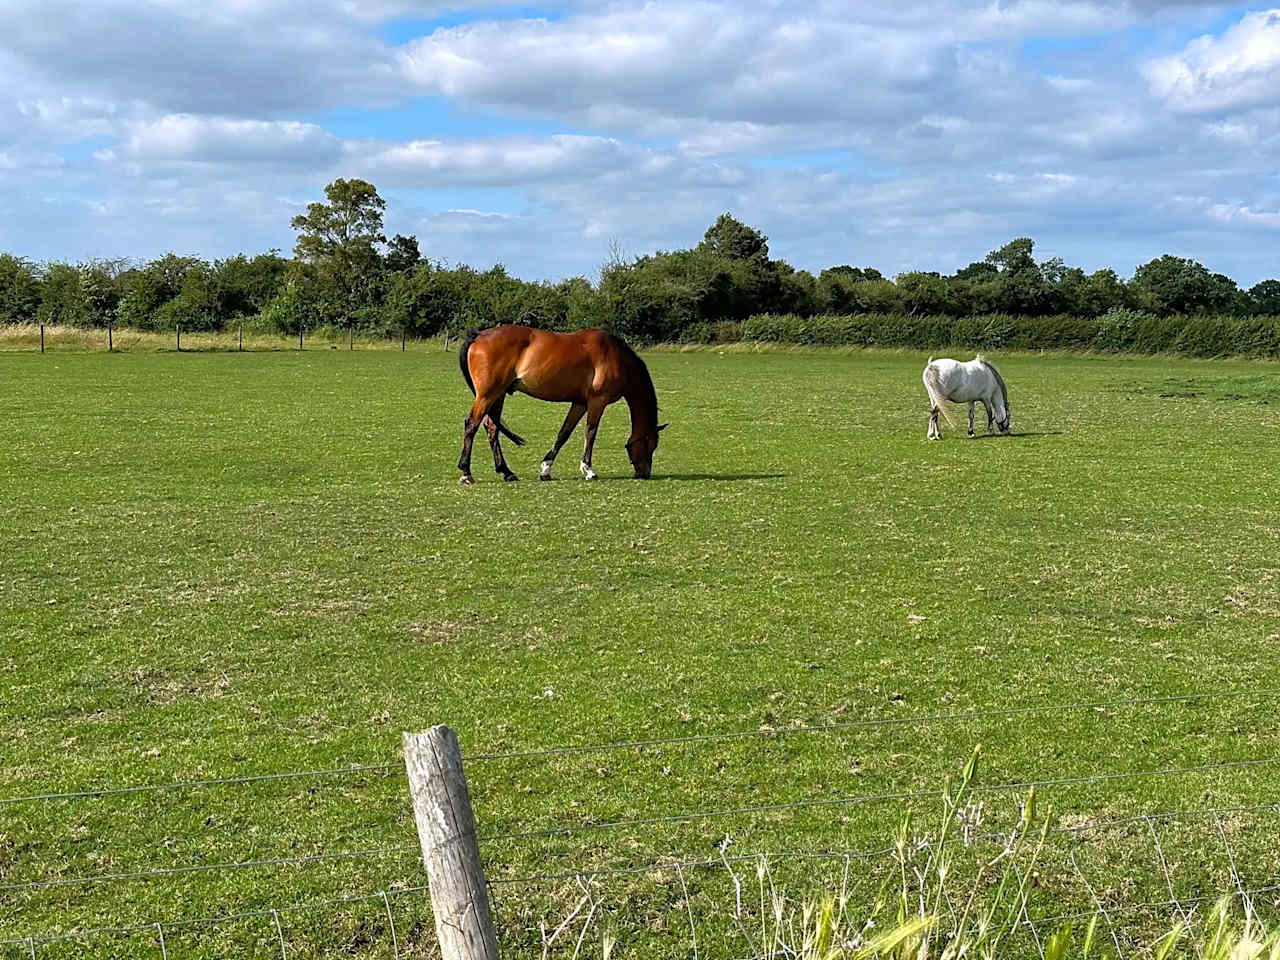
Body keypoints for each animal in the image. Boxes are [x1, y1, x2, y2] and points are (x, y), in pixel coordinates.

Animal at [455, 327, 665, 483]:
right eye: (650, 444)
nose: (645, 474)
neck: (616, 356)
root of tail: (478, 336)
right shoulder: (597, 401)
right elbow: (591, 432)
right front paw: (589, 470)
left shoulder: (580, 403)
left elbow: (564, 433)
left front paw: (546, 469)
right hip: (487, 395)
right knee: (471, 424)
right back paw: (466, 473)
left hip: (498, 395)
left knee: (491, 428)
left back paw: (507, 472)